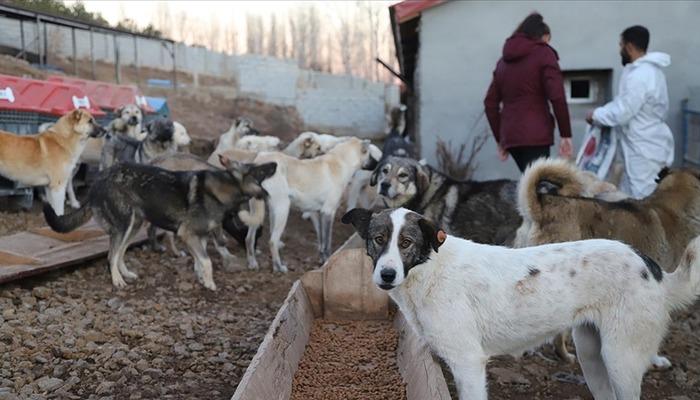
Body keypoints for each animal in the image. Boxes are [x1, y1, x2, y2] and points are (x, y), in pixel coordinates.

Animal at [41, 159, 278, 290]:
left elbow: (200, 261)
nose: (275, 163)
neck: (224, 189)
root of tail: (98, 181)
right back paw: (117, 281)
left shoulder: (198, 236)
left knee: (120, 253)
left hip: (134, 225)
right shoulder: (187, 234)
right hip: (124, 225)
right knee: (111, 255)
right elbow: (207, 261)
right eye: (258, 169)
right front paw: (210, 284)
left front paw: (202, 279)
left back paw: (126, 274)